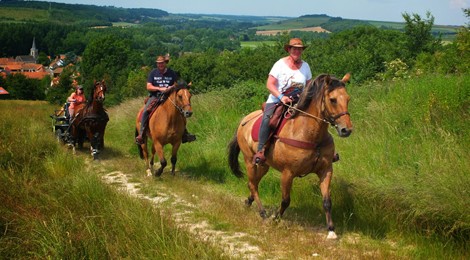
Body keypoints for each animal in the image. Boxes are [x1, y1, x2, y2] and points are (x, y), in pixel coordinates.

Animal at [228, 73, 352, 240]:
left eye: (348, 99)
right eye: (332, 100)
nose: (346, 130)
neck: (310, 135)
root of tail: (244, 120)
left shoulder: (326, 170)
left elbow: (327, 201)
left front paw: (331, 230)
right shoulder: (288, 173)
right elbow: (286, 200)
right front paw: (275, 218)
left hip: (264, 165)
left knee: (252, 184)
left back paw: (249, 202)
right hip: (250, 161)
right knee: (253, 184)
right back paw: (263, 214)